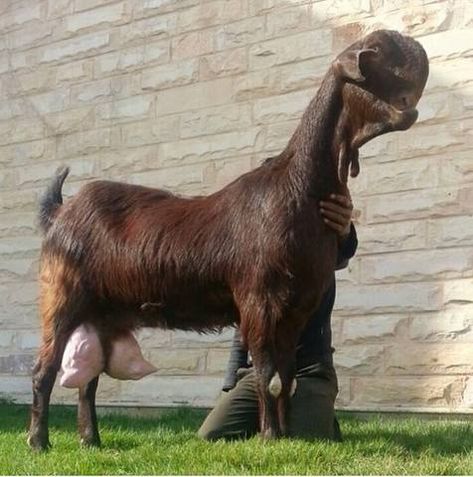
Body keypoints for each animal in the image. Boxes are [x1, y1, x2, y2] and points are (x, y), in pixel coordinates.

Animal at [27, 29, 430, 450]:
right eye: (373, 63)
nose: (409, 109)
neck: (299, 188)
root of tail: (60, 212)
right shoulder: (260, 301)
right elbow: (267, 376)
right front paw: (269, 438)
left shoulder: (296, 309)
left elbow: (286, 378)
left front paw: (286, 435)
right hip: (62, 298)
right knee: (45, 370)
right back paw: (39, 442)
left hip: (103, 314)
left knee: (88, 380)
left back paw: (91, 441)